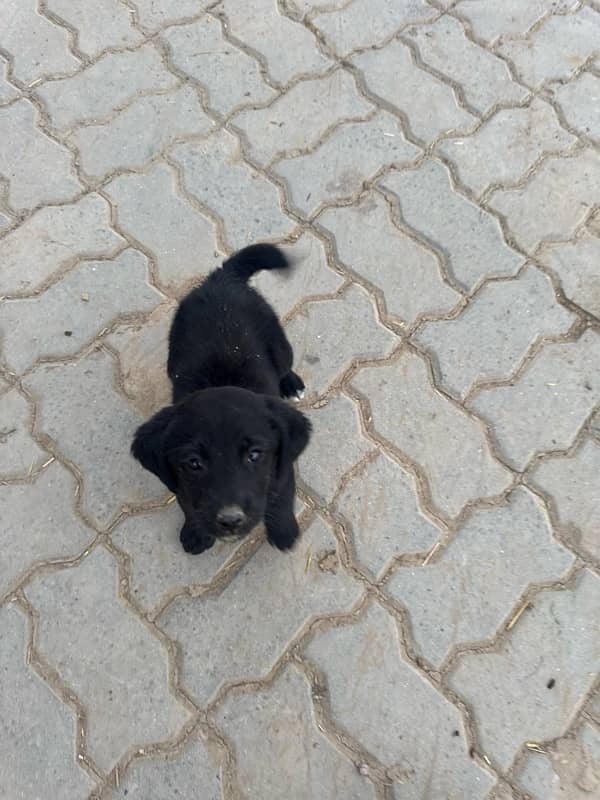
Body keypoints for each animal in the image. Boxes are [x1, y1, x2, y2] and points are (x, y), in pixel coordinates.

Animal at [131, 244, 310, 556]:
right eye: (193, 463)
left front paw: (284, 532)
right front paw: (196, 533)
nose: (230, 520)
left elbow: (281, 498)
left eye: (254, 455)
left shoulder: (281, 470)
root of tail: (222, 279)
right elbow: (188, 504)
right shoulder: (181, 483)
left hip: (279, 342)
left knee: (285, 363)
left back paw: (291, 383)